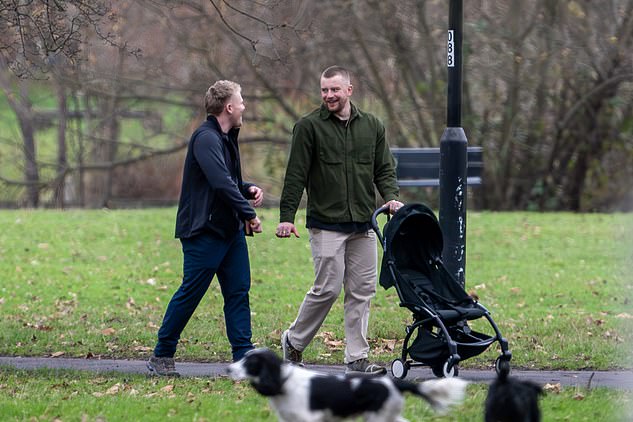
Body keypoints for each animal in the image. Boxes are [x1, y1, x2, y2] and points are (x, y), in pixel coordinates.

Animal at [226, 350, 464, 422]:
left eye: (250, 362)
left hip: (377, 418)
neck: (284, 381)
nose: (228, 369)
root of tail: (394, 383)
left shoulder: (310, 418)